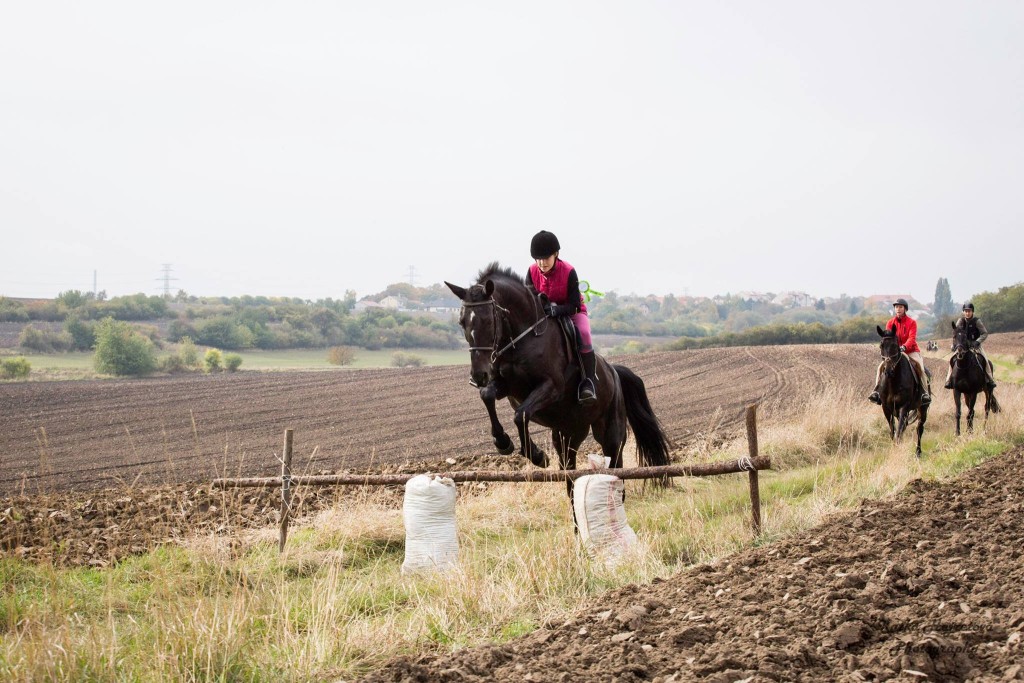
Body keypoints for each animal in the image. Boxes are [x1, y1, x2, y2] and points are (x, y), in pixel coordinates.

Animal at [442, 264, 671, 499]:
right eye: (461, 322)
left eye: (488, 320)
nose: (479, 375)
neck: (523, 338)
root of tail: (613, 372)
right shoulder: (506, 386)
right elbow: (487, 395)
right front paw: (503, 443)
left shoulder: (551, 387)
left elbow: (520, 415)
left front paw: (537, 456)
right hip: (568, 434)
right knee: (570, 470)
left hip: (610, 433)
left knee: (616, 465)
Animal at [872, 325, 929, 454]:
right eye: (881, 345)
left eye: (894, 345)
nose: (888, 371)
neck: (893, 381)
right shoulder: (886, 408)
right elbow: (893, 432)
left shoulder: (904, 406)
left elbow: (898, 432)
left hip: (922, 408)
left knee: (919, 429)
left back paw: (918, 452)